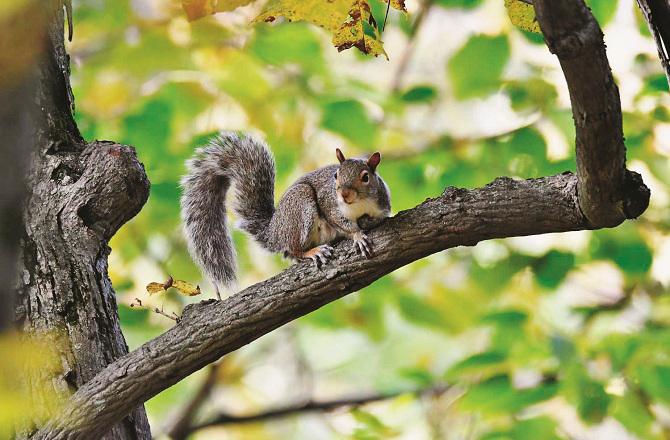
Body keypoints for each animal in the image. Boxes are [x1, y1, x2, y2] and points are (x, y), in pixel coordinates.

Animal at [182, 132, 394, 300]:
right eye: (336, 175)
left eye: (365, 177)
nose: (344, 194)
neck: (358, 205)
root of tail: (274, 232)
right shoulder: (329, 204)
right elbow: (341, 222)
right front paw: (358, 236)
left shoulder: (382, 205)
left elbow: (380, 216)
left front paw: (368, 223)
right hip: (300, 205)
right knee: (294, 250)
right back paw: (312, 252)